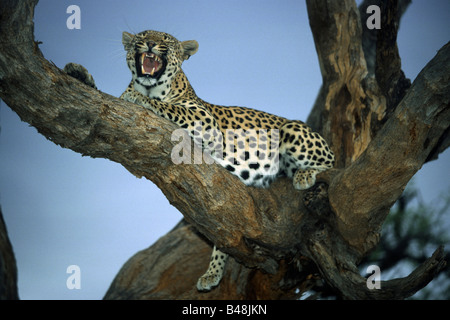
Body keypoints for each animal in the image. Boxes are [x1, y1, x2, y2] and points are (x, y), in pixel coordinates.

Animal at [65, 29, 336, 292]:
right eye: (141, 36)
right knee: (225, 233)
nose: (150, 43)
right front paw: (79, 74)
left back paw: (305, 174)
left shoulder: (205, 121)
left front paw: (138, 97)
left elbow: (169, 108)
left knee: (332, 164)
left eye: (165, 39)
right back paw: (212, 272)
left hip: (292, 130)